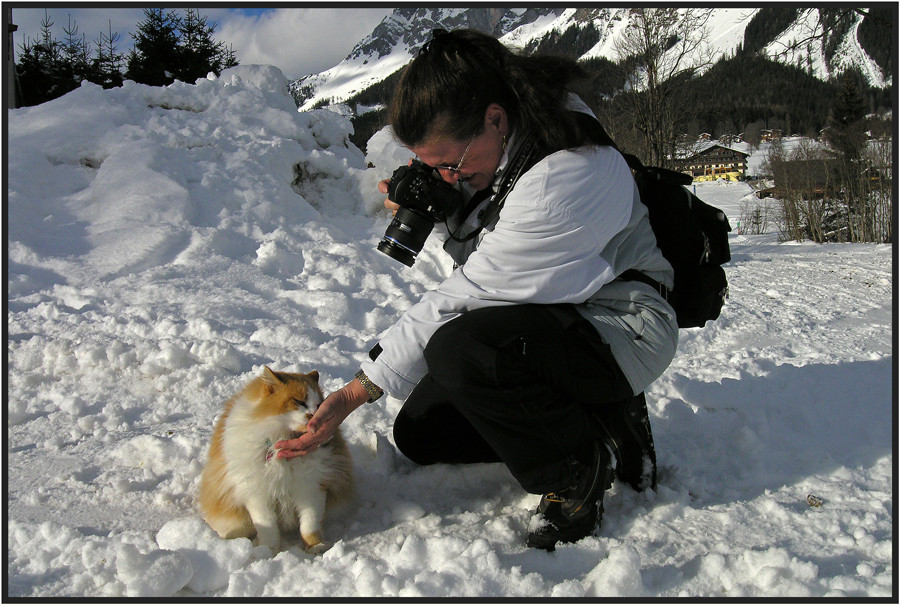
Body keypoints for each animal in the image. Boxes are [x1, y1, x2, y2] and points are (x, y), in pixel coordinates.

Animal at [199, 366, 354, 556]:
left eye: (319, 405)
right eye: (299, 402)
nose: (313, 414)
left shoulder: (311, 488)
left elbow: (309, 524)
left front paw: (315, 546)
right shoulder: (257, 495)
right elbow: (268, 527)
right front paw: (267, 551)